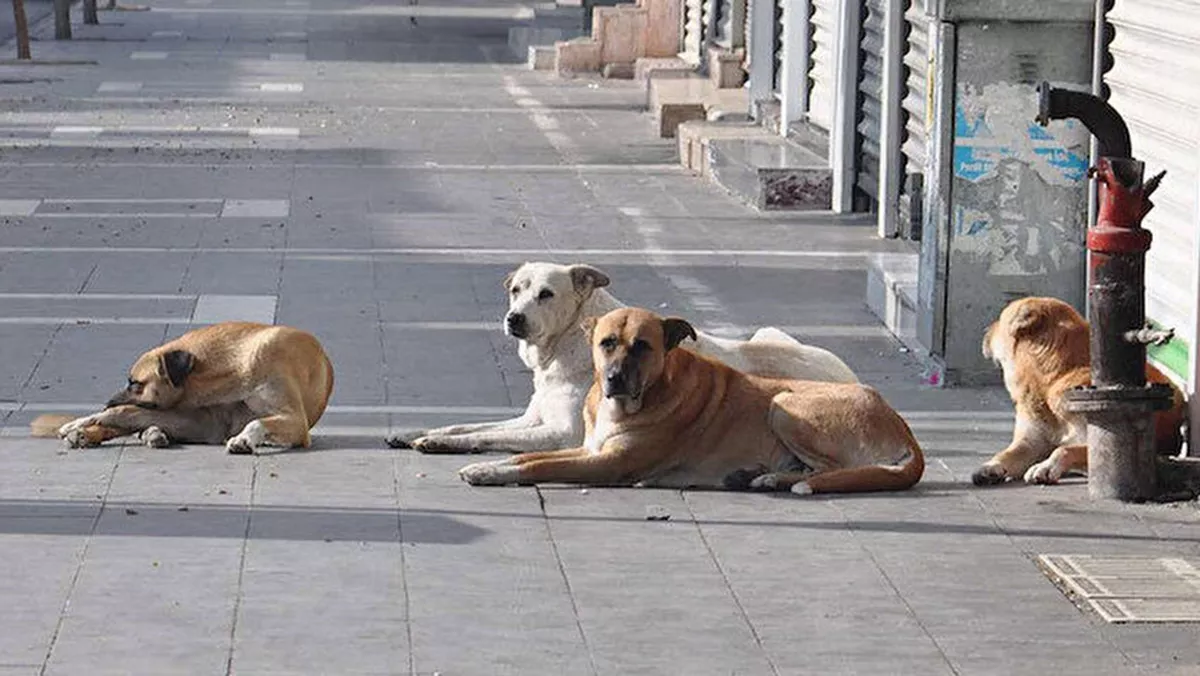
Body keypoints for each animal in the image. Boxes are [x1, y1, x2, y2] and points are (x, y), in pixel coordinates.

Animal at [32, 321, 333, 453]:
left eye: (135, 383)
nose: (107, 401)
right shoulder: (201, 419)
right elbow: (122, 413)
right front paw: (82, 422)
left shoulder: (295, 421)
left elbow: (256, 421)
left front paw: (244, 439)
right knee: (130, 421)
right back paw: (86, 433)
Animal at [388, 262, 859, 453]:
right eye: (516, 289)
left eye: (547, 294)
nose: (513, 318)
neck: (563, 348)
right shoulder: (530, 419)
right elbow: (466, 424)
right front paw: (417, 432)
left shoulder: (562, 434)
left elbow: (482, 436)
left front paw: (439, 444)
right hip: (767, 332)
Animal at [453, 309, 921, 494]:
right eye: (606, 343)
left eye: (643, 346)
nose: (614, 379)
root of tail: (902, 426)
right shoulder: (589, 449)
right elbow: (525, 458)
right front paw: (490, 465)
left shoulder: (608, 463)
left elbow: (538, 466)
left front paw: (488, 472)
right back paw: (761, 476)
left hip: (784, 406)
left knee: (834, 470)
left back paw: (772, 478)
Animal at [974, 297, 1190, 487]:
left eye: (1000, 320)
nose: (985, 330)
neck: (1054, 380)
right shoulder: (1029, 443)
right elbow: (1007, 453)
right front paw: (991, 466)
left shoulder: (1096, 443)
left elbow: (1064, 449)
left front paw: (1046, 466)